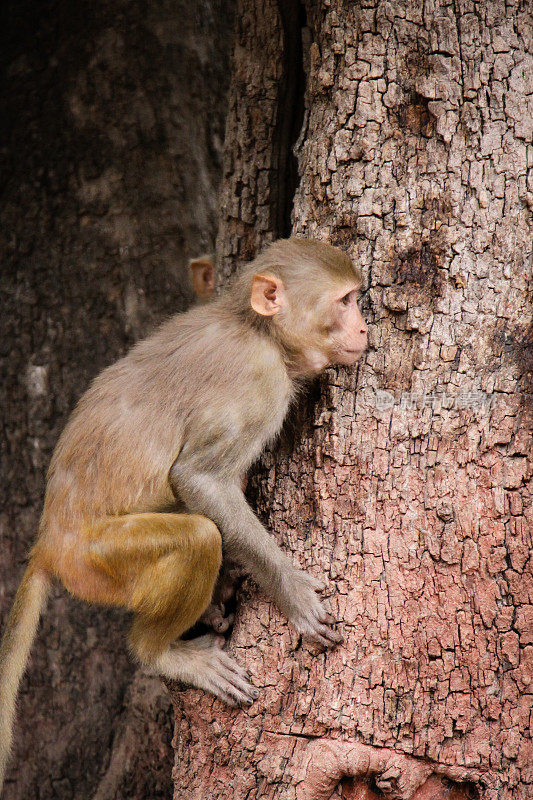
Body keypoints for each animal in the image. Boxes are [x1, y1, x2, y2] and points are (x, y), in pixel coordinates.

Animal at [0, 236, 366, 788]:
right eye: (344, 301)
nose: (364, 327)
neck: (257, 329)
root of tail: (47, 542)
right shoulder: (258, 380)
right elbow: (198, 479)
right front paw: (292, 591)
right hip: (95, 563)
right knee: (196, 537)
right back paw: (161, 655)